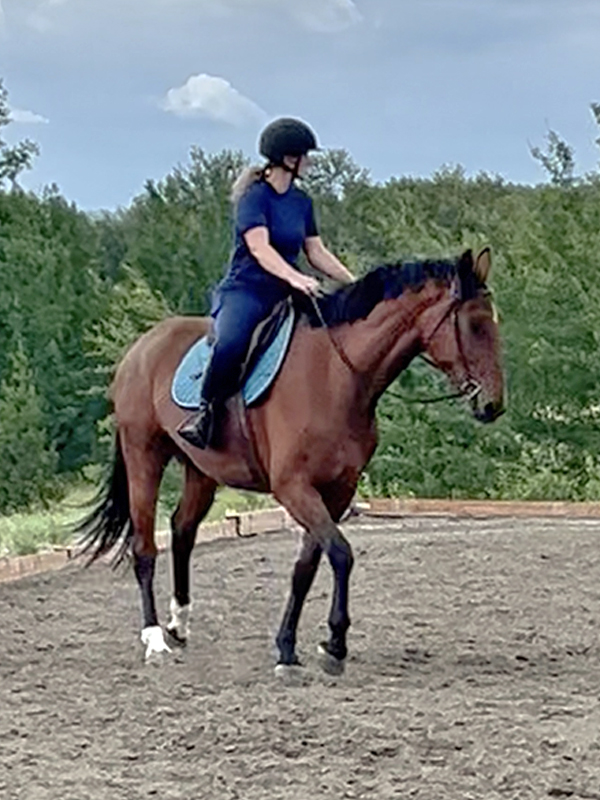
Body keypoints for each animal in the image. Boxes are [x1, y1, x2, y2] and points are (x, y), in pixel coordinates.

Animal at [77, 247, 504, 675]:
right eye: (474, 325)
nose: (493, 406)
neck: (338, 376)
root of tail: (139, 348)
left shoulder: (336, 490)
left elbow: (307, 567)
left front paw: (289, 648)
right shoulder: (294, 487)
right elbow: (341, 554)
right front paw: (335, 645)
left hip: (200, 470)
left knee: (182, 532)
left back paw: (179, 625)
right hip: (143, 455)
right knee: (144, 546)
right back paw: (154, 638)